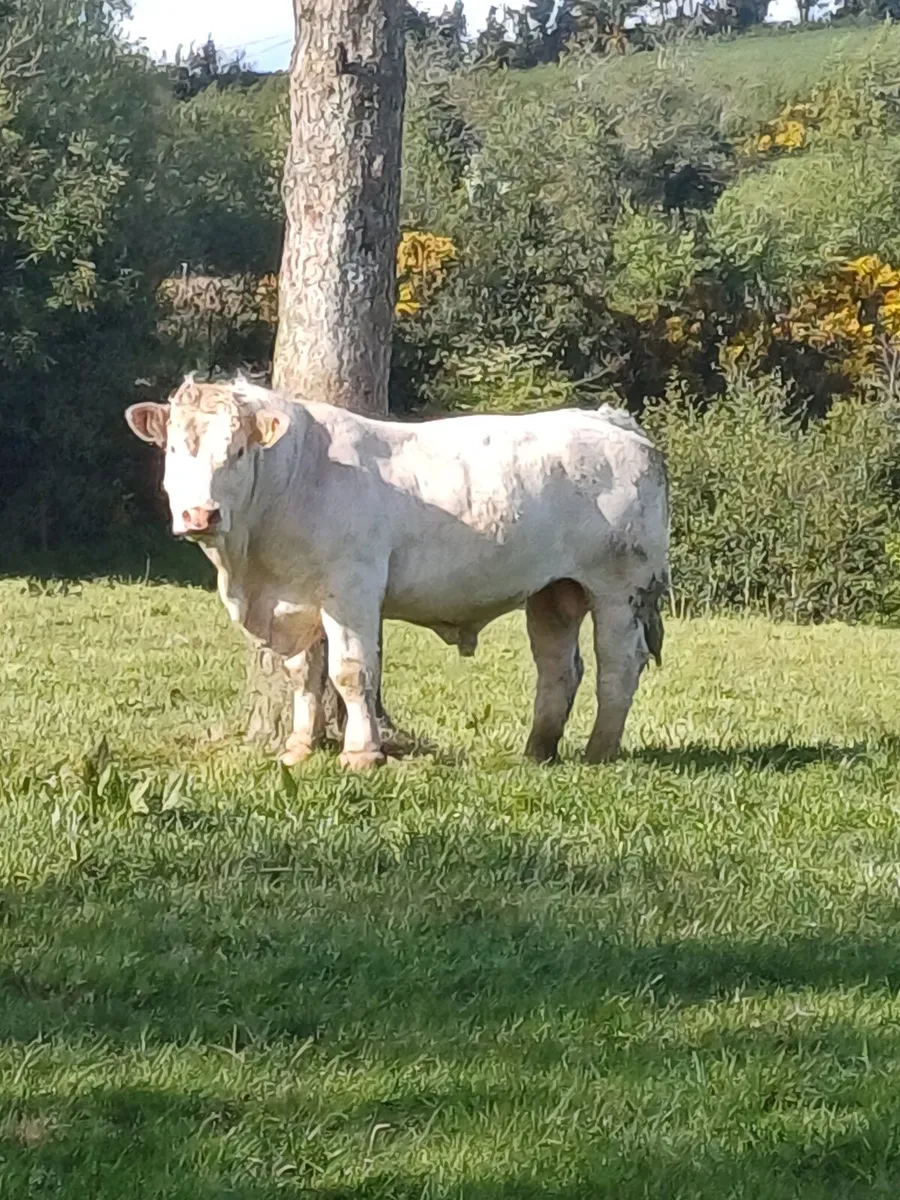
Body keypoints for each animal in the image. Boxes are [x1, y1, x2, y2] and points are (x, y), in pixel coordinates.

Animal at [125, 375, 669, 770]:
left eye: (237, 451)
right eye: (173, 449)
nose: (201, 514)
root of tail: (611, 420)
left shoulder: (351, 589)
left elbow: (350, 671)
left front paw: (361, 754)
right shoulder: (296, 597)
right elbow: (303, 673)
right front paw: (299, 746)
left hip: (620, 588)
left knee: (619, 665)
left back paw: (600, 750)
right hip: (555, 591)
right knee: (558, 668)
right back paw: (538, 751)